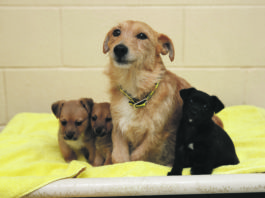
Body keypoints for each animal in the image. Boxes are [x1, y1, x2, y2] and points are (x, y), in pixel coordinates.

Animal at [102, 20, 222, 166]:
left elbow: (137, 156)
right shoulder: (118, 128)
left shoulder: (156, 135)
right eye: (116, 32)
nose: (119, 49)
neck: (137, 95)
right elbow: (119, 158)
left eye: (142, 35)